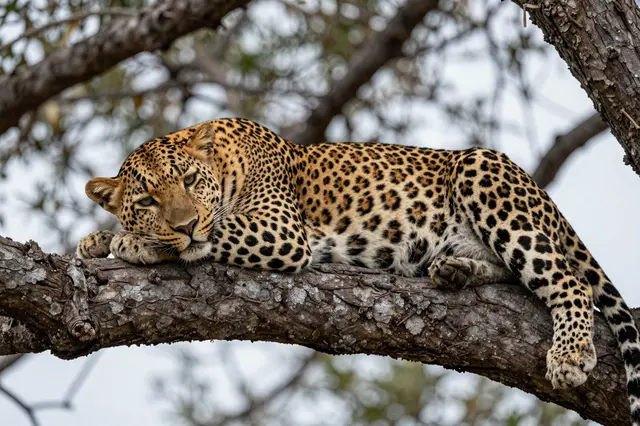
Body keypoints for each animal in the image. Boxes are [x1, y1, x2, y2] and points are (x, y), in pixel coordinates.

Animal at [77, 118, 640, 424]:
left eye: (192, 181)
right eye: (147, 200)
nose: (186, 223)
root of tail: (542, 193)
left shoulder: (282, 230)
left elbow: (216, 232)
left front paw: (135, 242)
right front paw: (98, 238)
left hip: (484, 176)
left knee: (567, 280)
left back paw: (569, 354)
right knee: (508, 269)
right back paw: (454, 270)